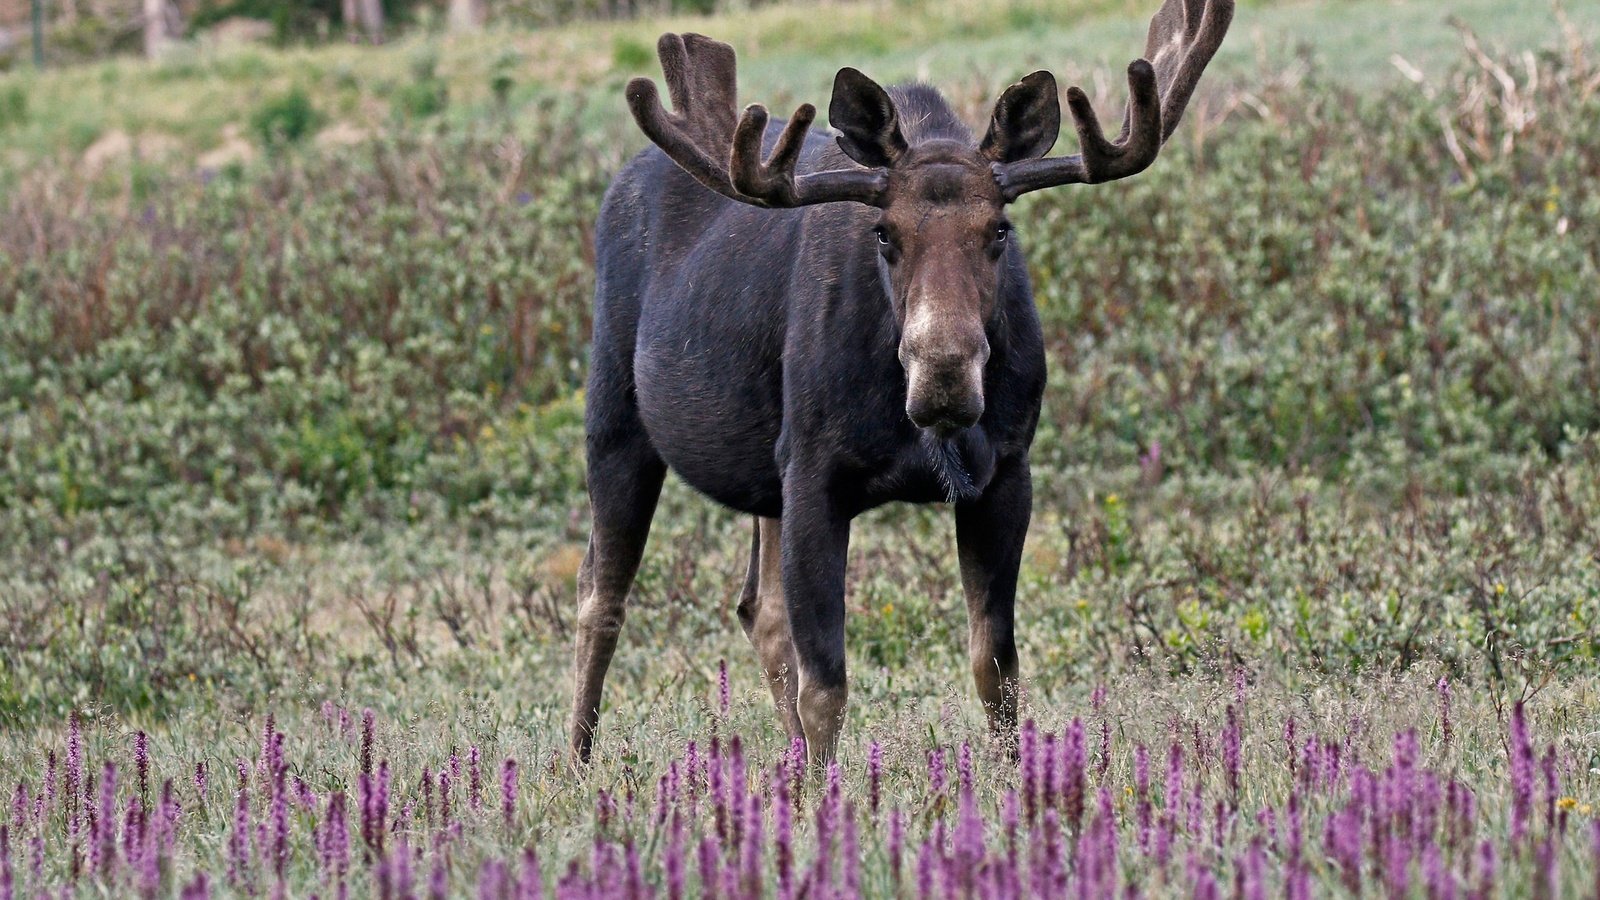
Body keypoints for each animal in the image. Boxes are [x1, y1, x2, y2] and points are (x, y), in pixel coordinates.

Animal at [572, 0, 1235, 762]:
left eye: (999, 229)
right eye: (884, 233)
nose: (943, 370)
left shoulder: (1007, 471)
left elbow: (996, 667)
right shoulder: (815, 472)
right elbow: (826, 685)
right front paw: (823, 792)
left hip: (763, 473)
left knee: (757, 609)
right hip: (615, 418)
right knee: (601, 595)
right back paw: (578, 762)